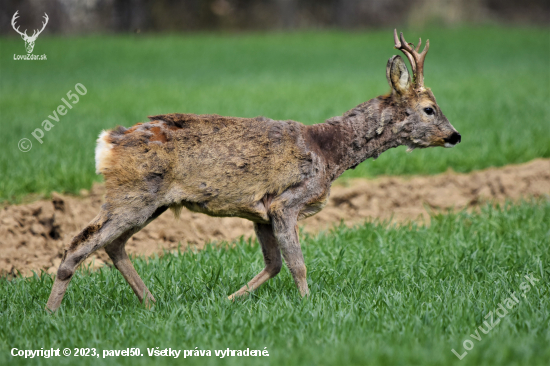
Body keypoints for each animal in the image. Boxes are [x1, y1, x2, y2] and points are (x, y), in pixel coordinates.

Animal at [46, 29, 462, 312]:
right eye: (429, 109)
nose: (455, 135)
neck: (329, 152)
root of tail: (108, 142)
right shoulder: (286, 202)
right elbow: (297, 264)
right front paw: (308, 305)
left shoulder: (259, 213)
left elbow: (273, 264)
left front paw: (228, 300)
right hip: (132, 195)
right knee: (80, 243)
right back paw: (52, 312)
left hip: (151, 202)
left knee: (113, 244)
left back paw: (151, 302)